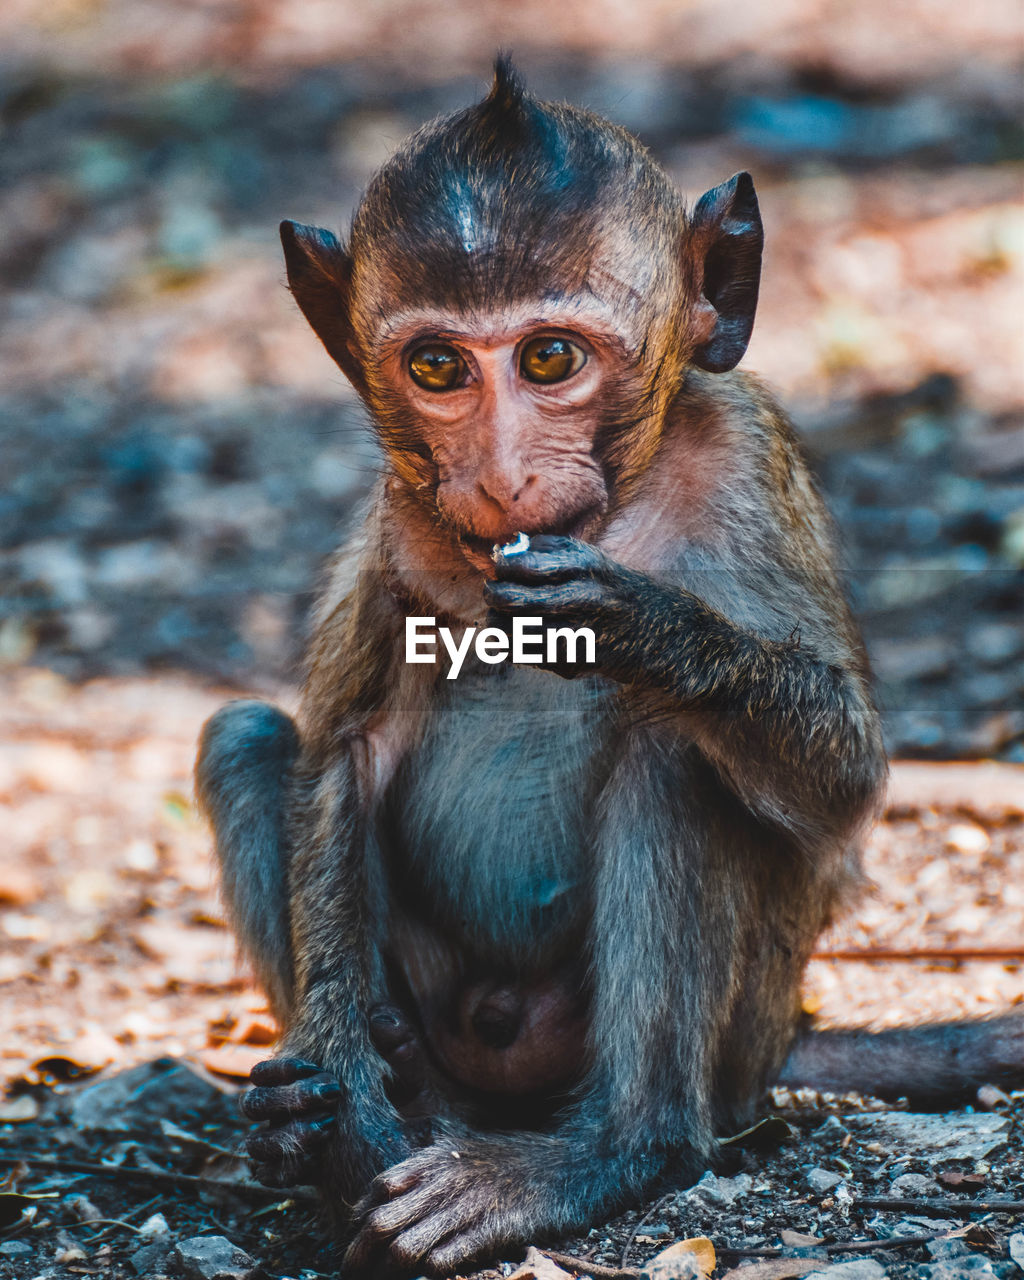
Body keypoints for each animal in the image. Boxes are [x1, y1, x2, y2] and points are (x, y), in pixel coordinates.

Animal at [194, 57, 1024, 1280]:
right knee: (248, 739)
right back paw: (393, 1101)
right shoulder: (399, 518)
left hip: (730, 1039)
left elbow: (842, 780)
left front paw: (637, 626)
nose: (497, 477)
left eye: (549, 358)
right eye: (437, 366)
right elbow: (347, 750)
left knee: (676, 756)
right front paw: (344, 1113)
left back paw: (612, 1151)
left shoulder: (748, 464)